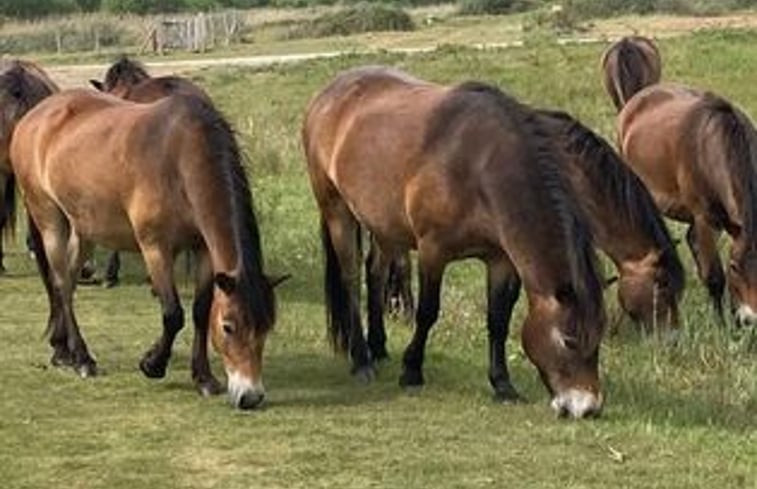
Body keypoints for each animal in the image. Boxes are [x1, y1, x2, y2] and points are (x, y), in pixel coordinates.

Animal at [304, 63, 604, 416]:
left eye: (598, 340)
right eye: (569, 340)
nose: (587, 407)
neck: (479, 166)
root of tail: (326, 96)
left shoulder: (501, 260)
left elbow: (498, 320)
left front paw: (502, 383)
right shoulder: (433, 251)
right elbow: (428, 312)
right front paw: (412, 370)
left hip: (384, 224)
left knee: (375, 273)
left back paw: (378, 347)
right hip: (337, 210)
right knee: (351, 280)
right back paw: (361, 359)